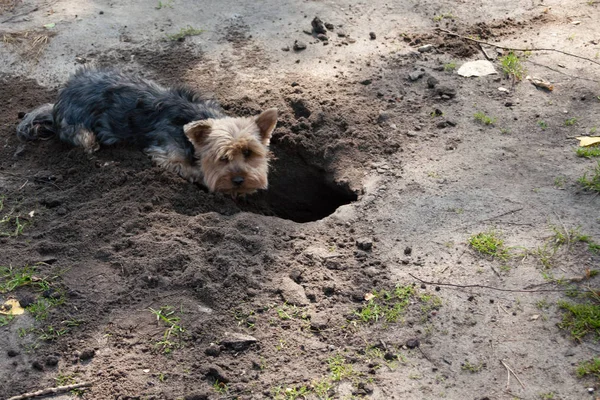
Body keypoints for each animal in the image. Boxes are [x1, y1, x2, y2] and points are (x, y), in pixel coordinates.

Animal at [17, 69, 276, 197]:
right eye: (222, 158)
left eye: (249, 153)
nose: (239, 180)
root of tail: (58, 100)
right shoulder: (167, 153)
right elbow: (191, 169)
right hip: (80, 130)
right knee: (88, 143)